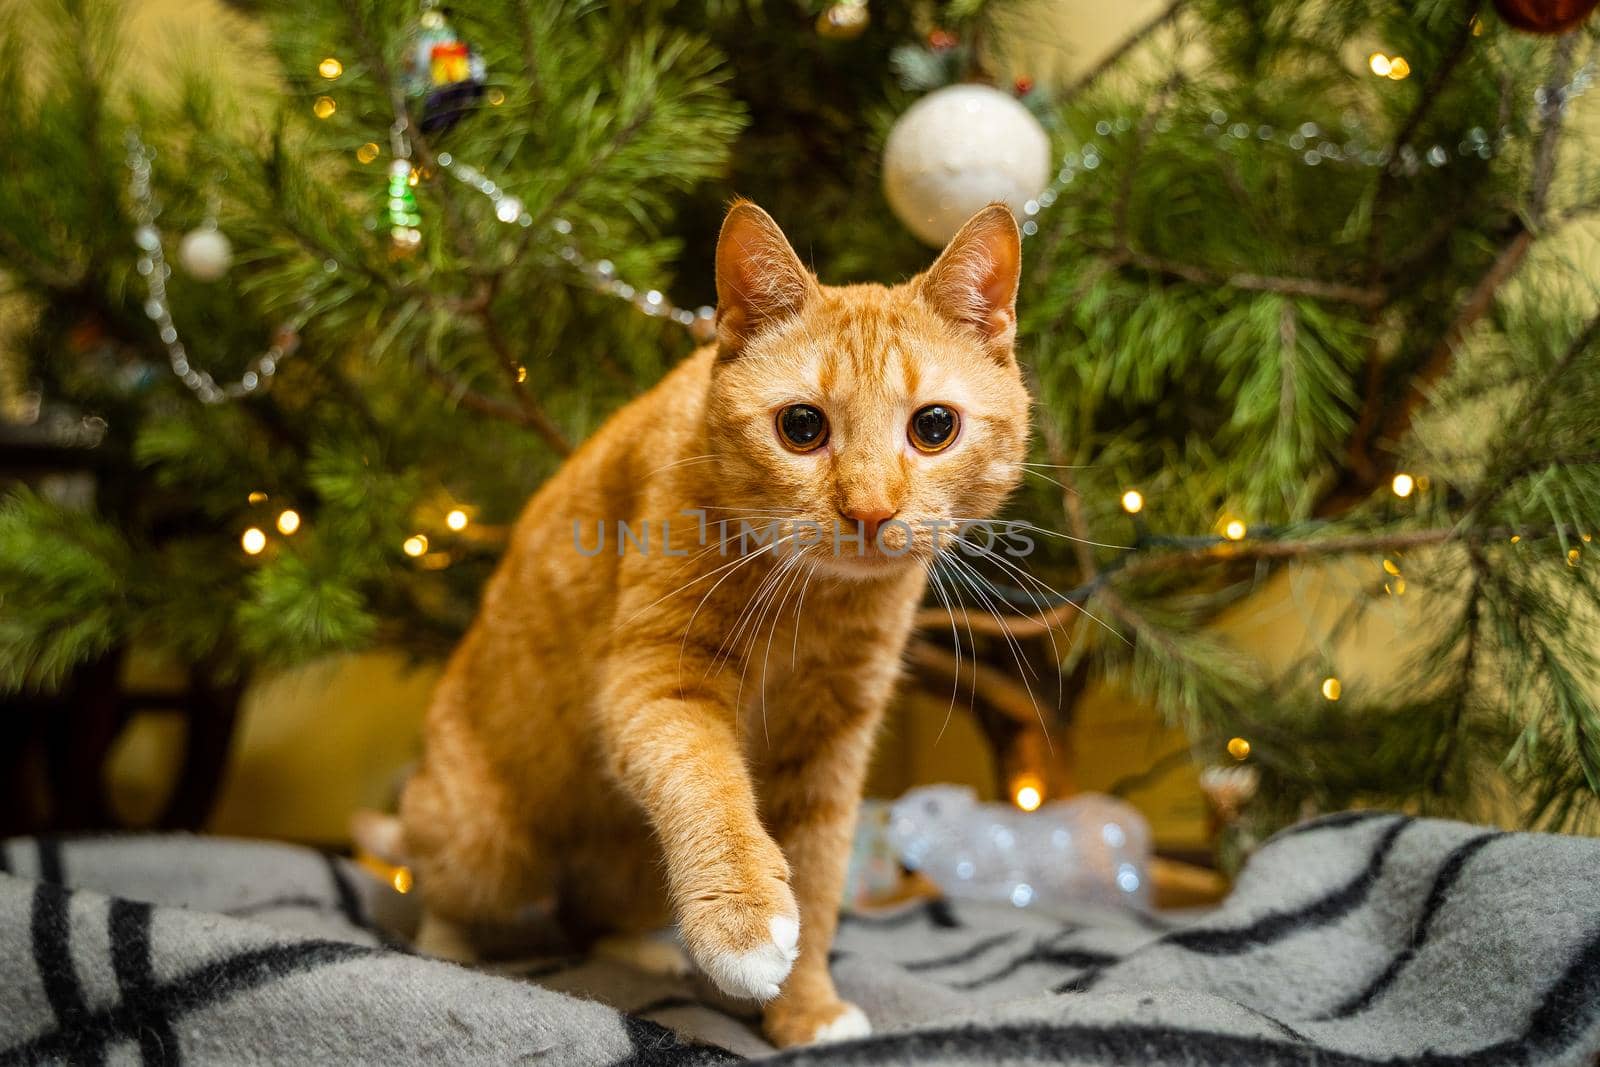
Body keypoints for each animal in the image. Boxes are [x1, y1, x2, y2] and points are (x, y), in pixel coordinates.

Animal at [393, 199, 1030, 1049]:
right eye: (802, 427)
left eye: (933, 426)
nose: (869, 511)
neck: (817, 604)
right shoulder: (659, 683)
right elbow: (708, 787)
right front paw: (745, 925)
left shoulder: (831, 746)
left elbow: (819, 875)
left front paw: (806, 1008)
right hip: (483, 848)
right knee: (449, 891)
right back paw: (447, 948)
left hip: (625, 871)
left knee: (588, 913)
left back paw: (637, 947)